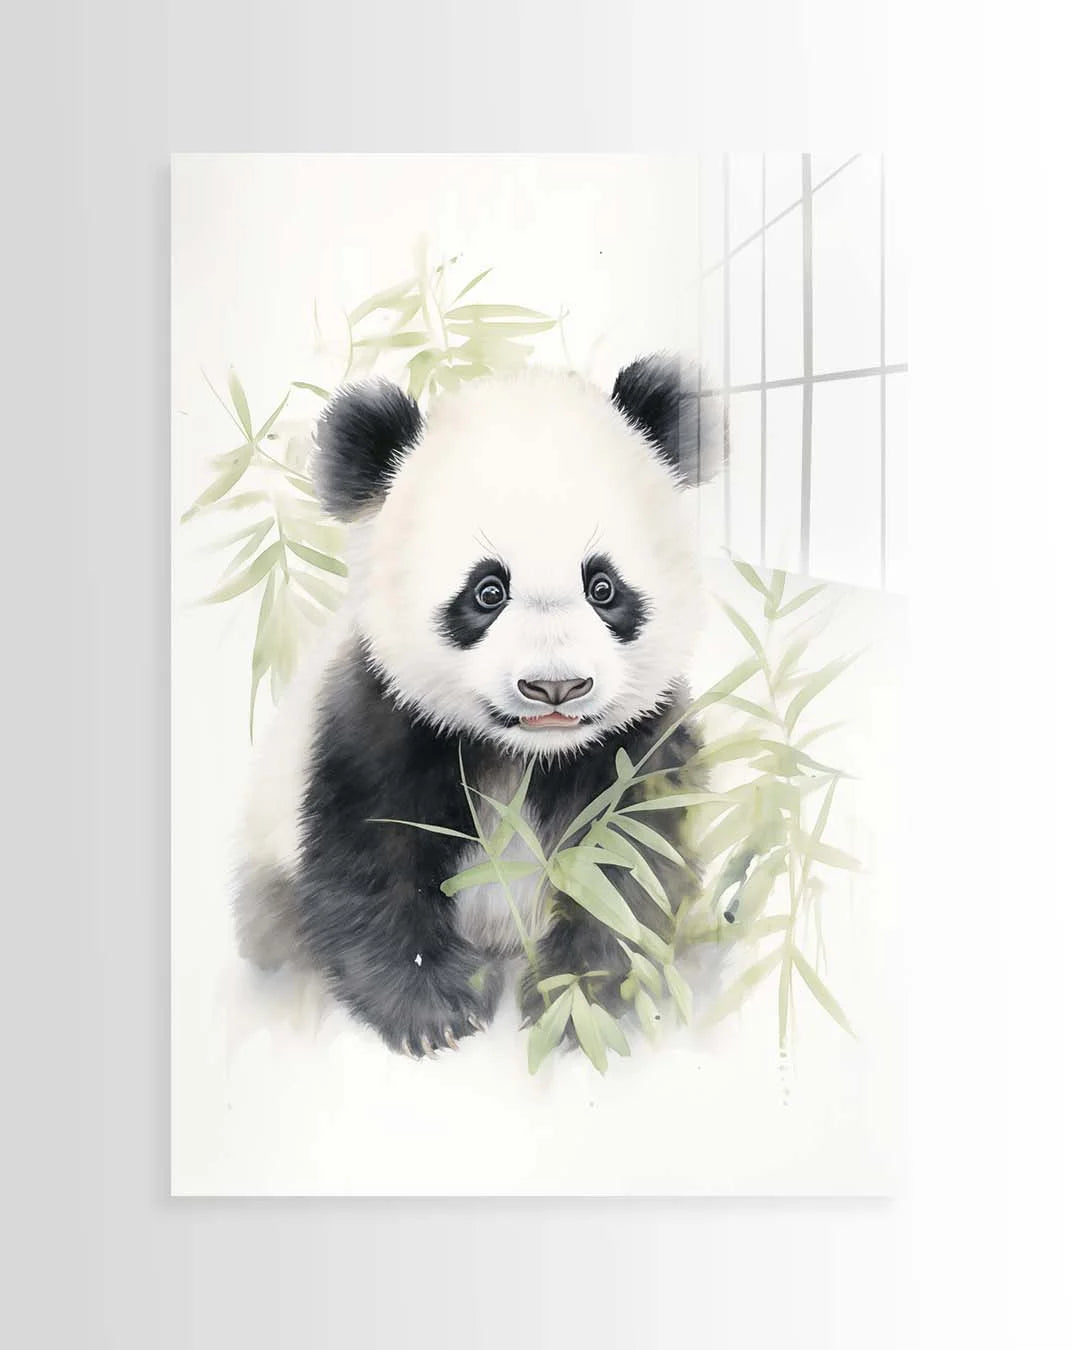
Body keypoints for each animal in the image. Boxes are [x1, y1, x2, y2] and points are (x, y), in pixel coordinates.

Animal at [236, 355, 716, 1057]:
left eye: (602, 587)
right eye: (488, 591)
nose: (555, 687)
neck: (526, 754)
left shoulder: (639, 743)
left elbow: (631, 863)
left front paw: (574, 999)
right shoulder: (374, 720)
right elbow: (369, 859)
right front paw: (435, 1009)